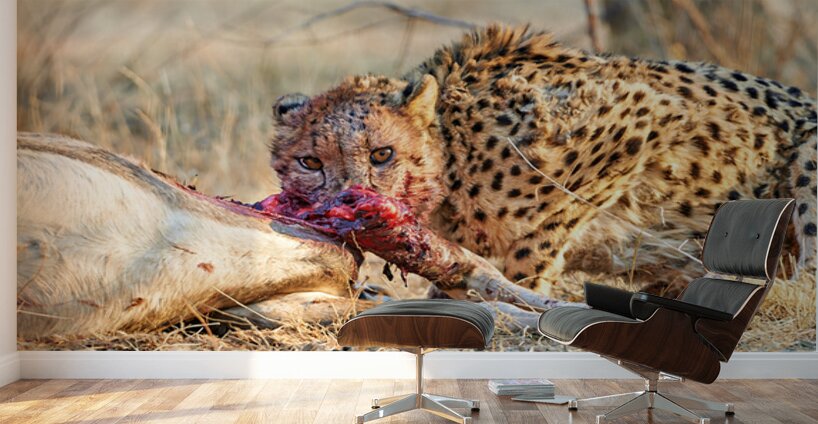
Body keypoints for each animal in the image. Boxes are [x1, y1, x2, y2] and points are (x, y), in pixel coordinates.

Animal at [269, 24, 817, 293]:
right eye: (311, 164)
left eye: (382, 154)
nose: (350, 200)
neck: (456, 153)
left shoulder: (640, 115)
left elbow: (539, 241)